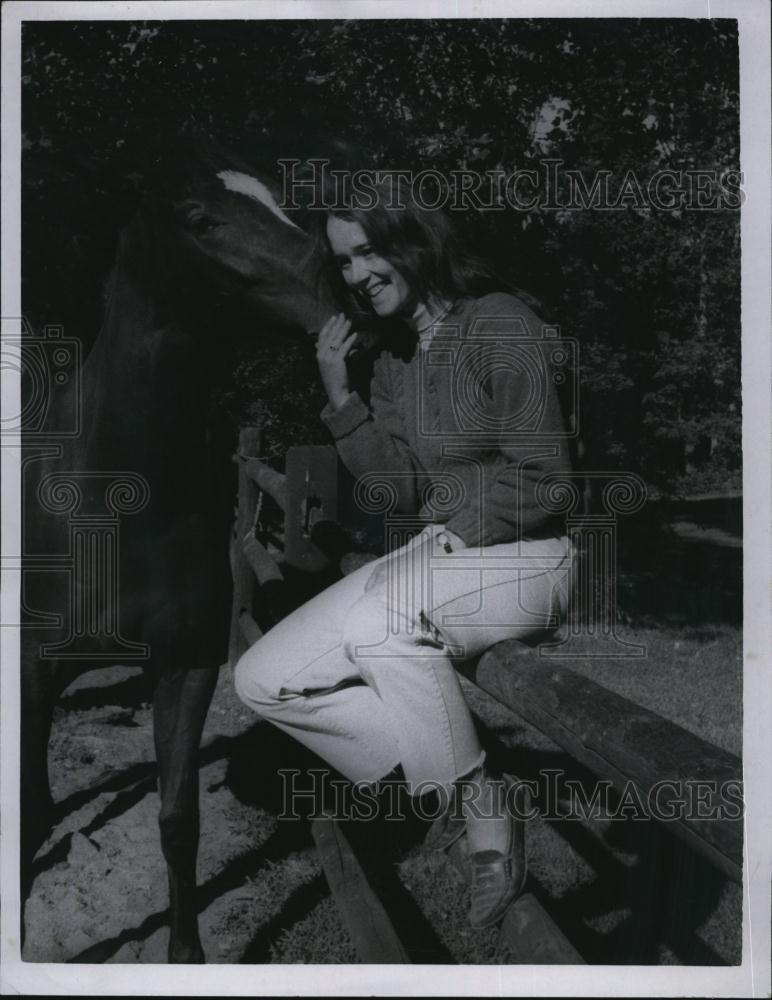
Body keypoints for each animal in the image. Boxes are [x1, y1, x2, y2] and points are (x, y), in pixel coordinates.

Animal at [21, 143, 328, 960]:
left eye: (283, 206)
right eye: (202, 220)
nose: (340, 289)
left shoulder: (185, 664)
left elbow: (176, 821)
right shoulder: (32, 670)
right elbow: (23, 820)